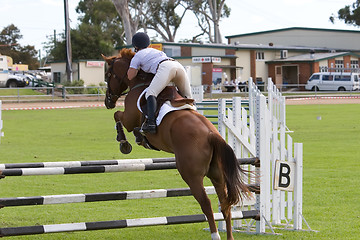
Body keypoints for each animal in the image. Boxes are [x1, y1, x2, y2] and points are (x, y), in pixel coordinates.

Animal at [103, 47, 250, 239]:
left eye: (108, 75)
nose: (107, 101)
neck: (138, 83)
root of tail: (212, 134)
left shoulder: (129, 118)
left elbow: (118, 117)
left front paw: (125, 142)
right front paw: (137, 137)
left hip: (191, 175)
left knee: (206, 203)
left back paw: (215, 234)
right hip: (217, 174)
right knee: (224, 203)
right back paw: (229, 236)